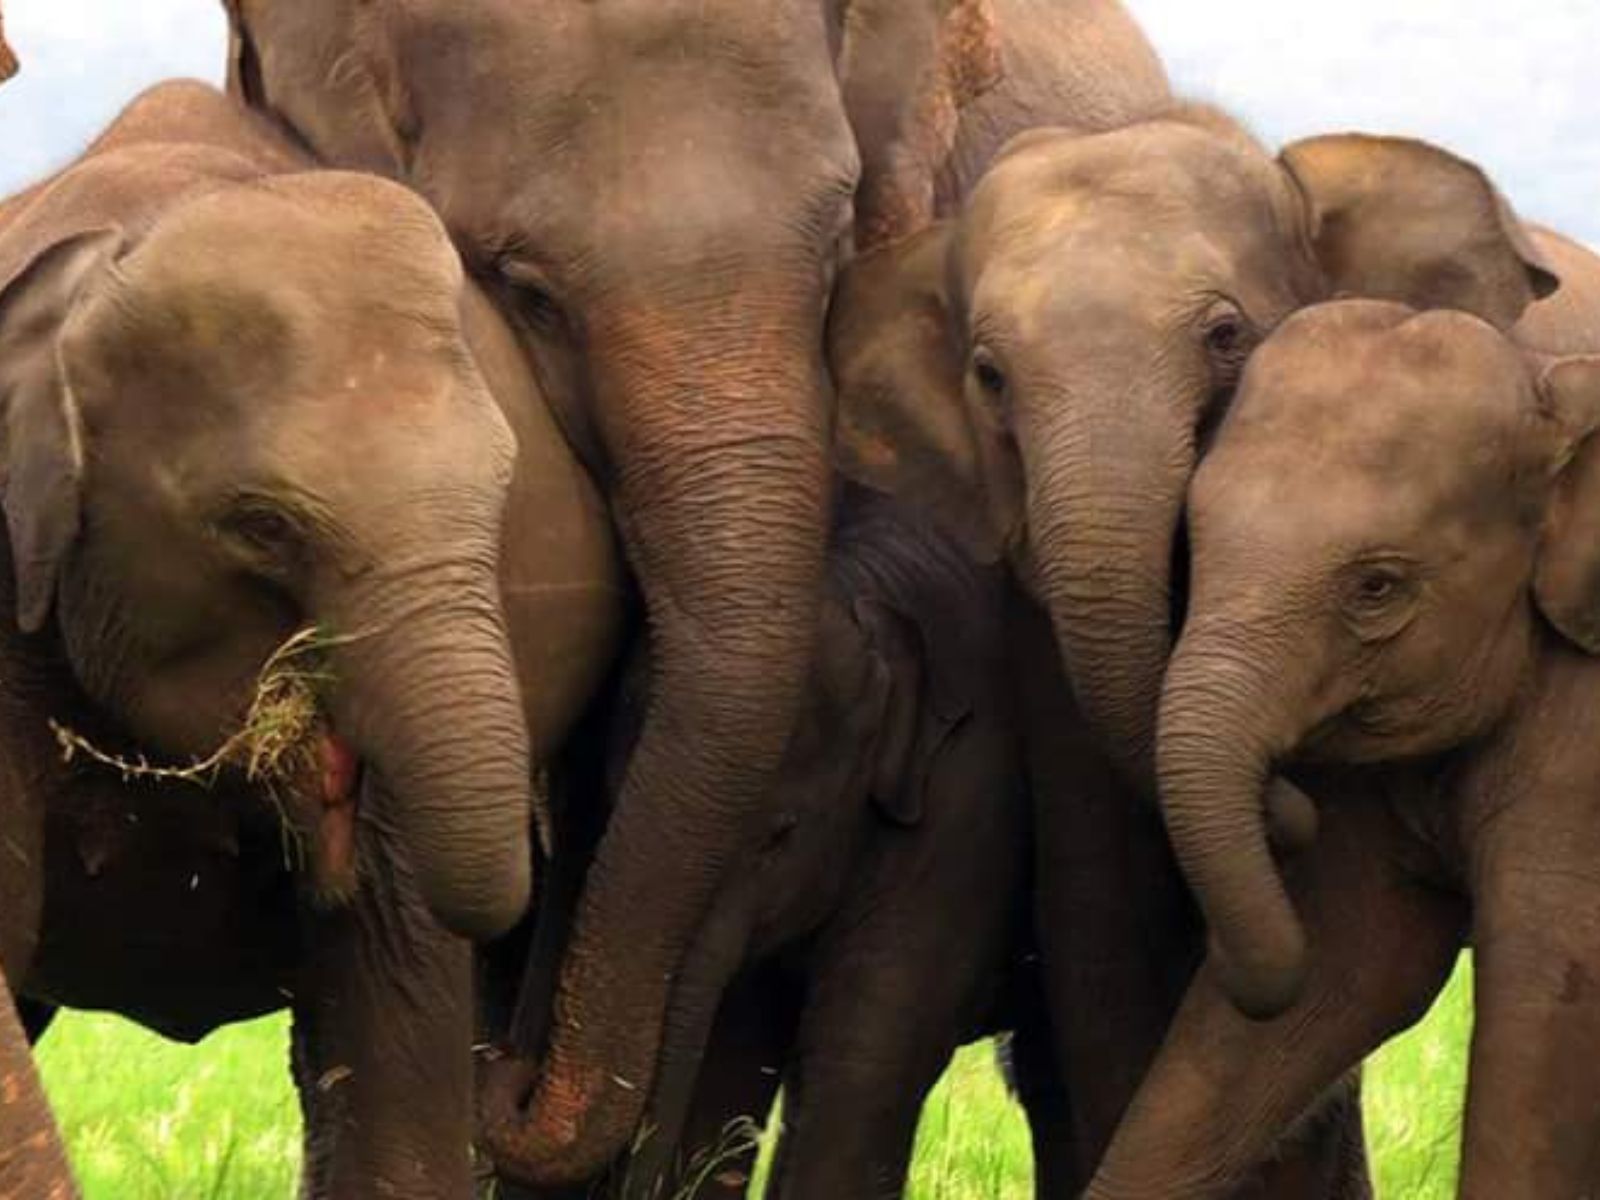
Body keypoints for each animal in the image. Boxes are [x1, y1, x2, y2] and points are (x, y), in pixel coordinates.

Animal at [1084, 289, 1600, 1199]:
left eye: (1377, 587)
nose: (1285, 803)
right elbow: (1342, 966)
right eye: (1190, 547)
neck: (1545, 380)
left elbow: (1549, 993)